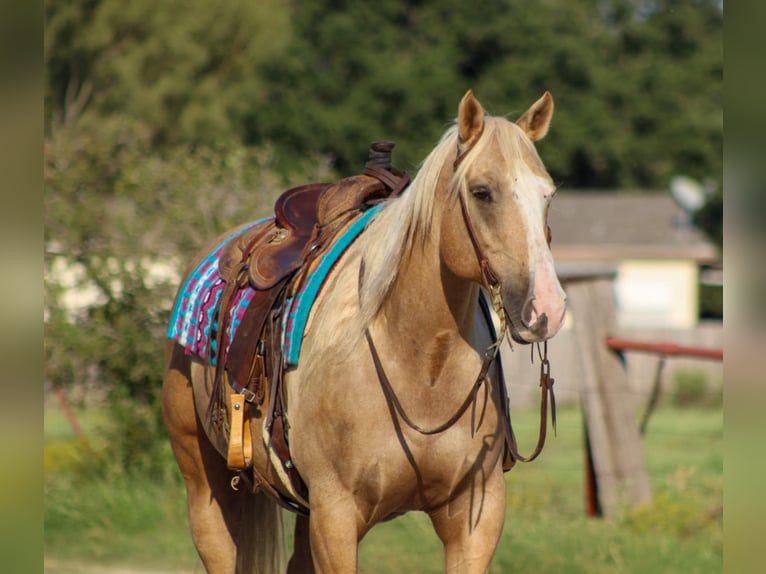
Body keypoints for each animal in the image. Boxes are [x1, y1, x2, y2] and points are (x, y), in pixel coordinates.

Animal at [162, 90, 567, 573]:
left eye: (548, 195)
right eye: (481, 192)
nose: (546, 307)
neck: (420, 366)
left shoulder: (477, 515)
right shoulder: (336, 516)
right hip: (206, 489)